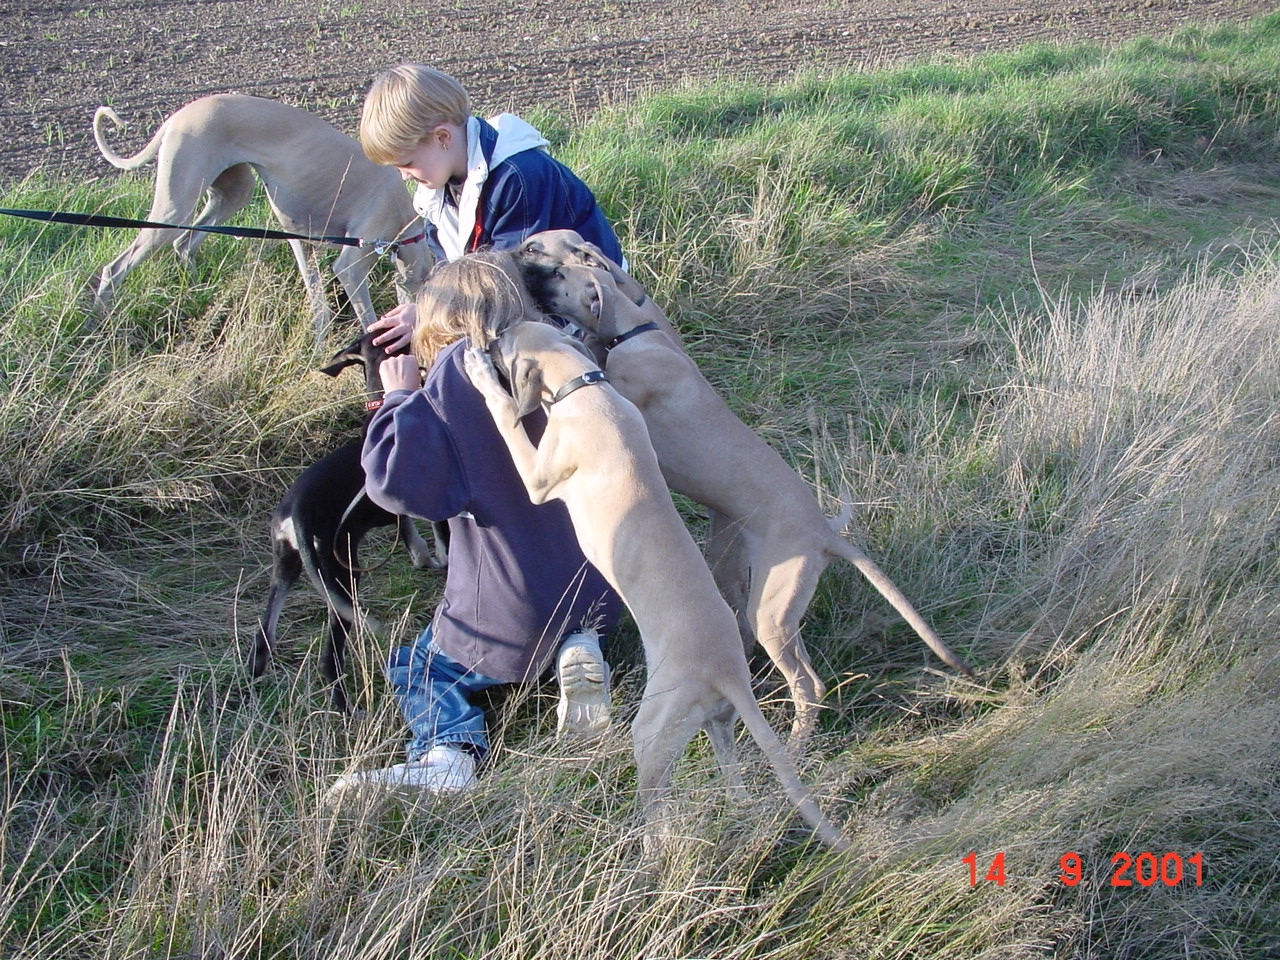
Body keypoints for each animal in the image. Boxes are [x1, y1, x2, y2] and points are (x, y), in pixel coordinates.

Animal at [91, 94, 430, 335]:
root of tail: (178, 116)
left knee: (185, 243)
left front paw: (319, 346)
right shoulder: (352, 264)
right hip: (174, 208)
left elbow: (319, 306)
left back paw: (199, 293)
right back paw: (101, 323)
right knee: (116, 267)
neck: (404, 221)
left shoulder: (302, 241)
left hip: (234, 191)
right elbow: (365, 316)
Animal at [463, 325, 849, 855]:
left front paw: (479, 372)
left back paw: (648, 855)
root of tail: (728, 671)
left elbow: (506, 413)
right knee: (733, 780)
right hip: (715, 721)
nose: (489, 338)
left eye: (505, 343)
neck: (586, 385)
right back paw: (735, 812)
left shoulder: (539, 478)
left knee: (657, 814)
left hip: (651, 731)